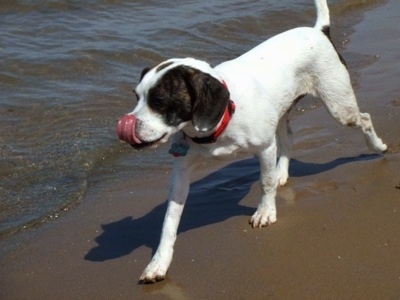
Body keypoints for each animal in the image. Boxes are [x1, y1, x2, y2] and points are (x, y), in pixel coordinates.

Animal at [116, 0, 388, 284]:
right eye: (136, 97)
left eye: (159, 101)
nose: (128, 125)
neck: (222, 118)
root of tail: (318, 31)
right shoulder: (181, 172)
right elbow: (169, 220)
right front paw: (159, 262)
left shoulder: (265, 147)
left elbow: (265, 182)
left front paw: (266, 211)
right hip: (281, 111)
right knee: (288, 139)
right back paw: (282, 173)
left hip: (339, 107)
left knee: (364, 118)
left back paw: (377, 146)